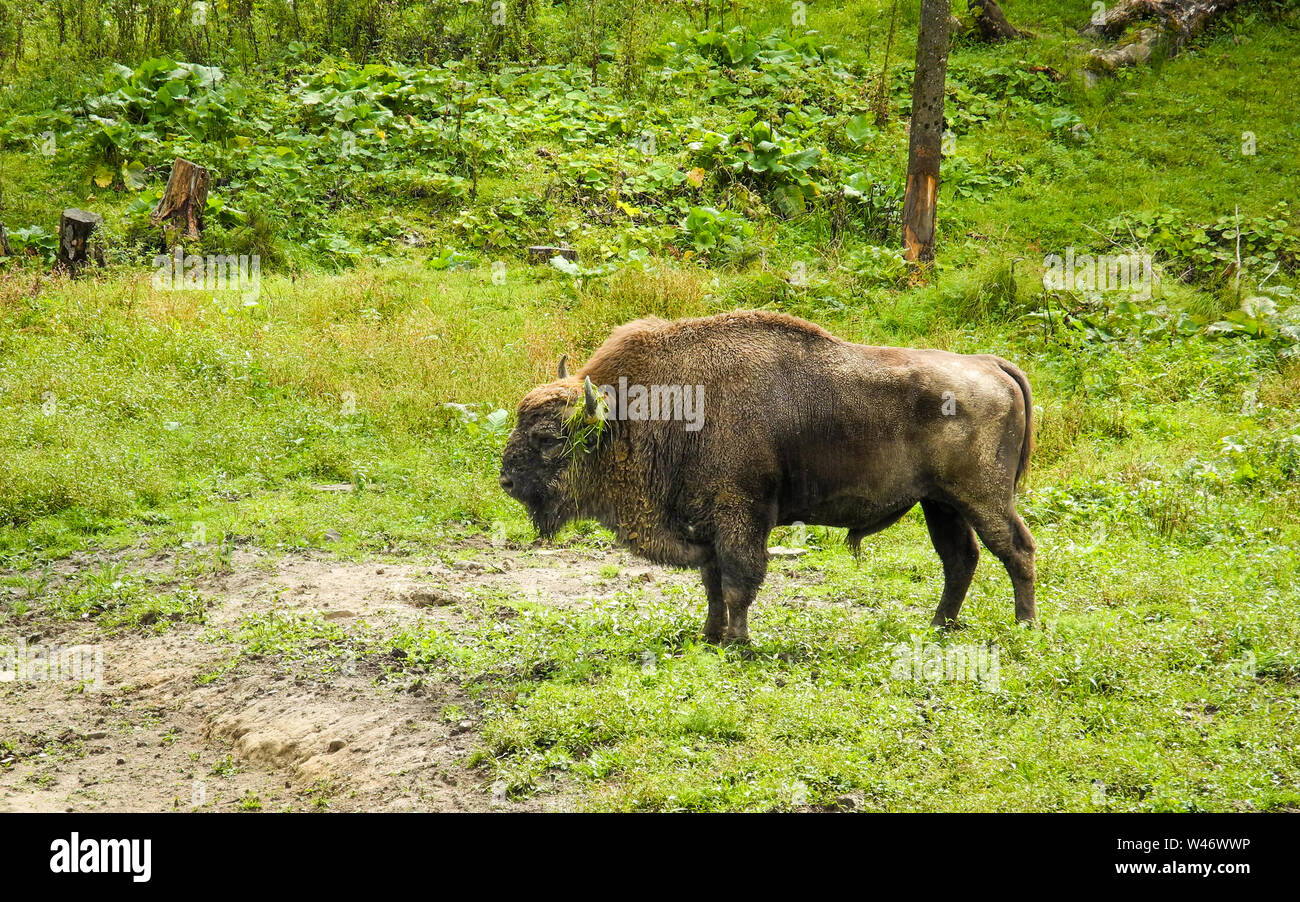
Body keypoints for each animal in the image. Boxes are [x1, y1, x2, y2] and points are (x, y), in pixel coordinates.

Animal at [499, 314, 1034, 647]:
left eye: (548, 437)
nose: (505, 481)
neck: (638, 413)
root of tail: (990, 363)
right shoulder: (708, 526)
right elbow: (714, 583)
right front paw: (710, 636)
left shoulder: (740, 517)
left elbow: (740, 580)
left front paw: (739, 641)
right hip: (939, 503)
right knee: (960, 559)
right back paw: (940, 626)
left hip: (982, 498)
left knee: (1016, 549)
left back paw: (1024, 627)